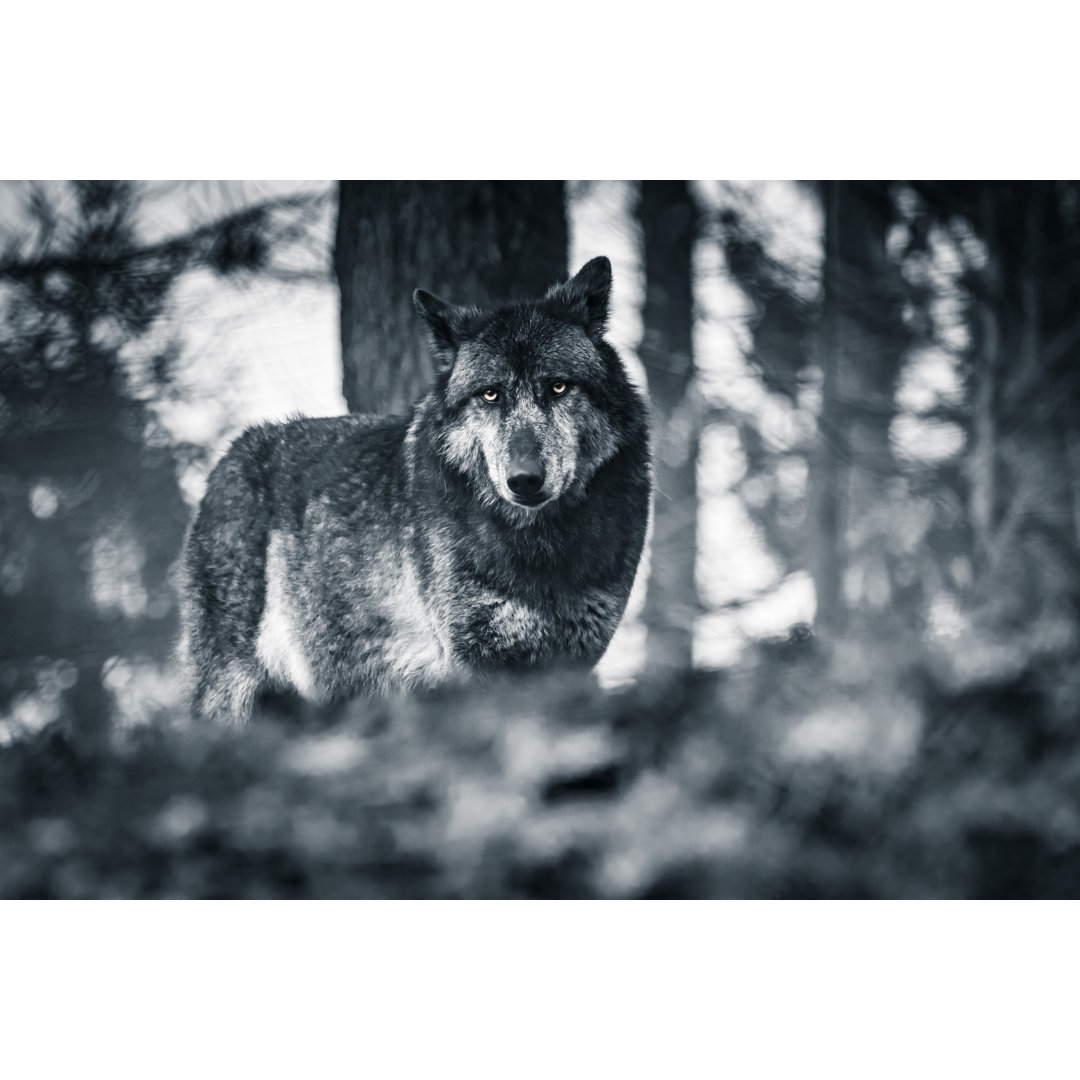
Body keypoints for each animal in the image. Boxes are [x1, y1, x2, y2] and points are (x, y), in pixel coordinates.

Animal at [179, 255, 648, 721]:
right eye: (490, 395)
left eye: (558, 386)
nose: (524, 480)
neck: (539, 549)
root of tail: (228, 458)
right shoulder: (477, 659)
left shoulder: (572, 660)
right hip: (231, 694)